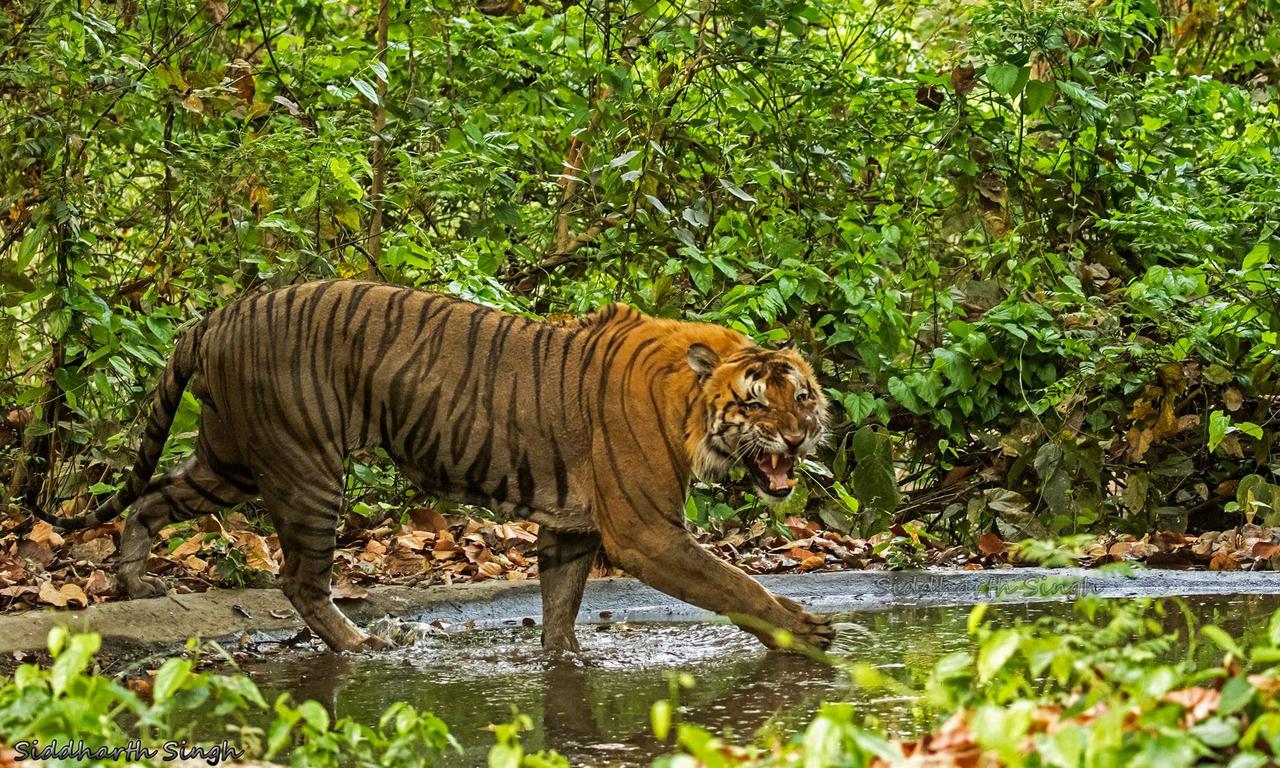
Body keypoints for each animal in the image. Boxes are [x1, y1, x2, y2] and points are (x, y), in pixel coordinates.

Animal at [35, 281, 834, 652]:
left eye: (803, 396)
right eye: (757, 404)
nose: (798, 439)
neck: (686, 407)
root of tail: (216, 317)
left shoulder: (571, 528)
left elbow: (559, 607)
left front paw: (567, 659)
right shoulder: (646, 533)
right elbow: (732, 585)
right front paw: (804, 630)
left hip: (227, 458)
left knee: (153, 498)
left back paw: (134, 581)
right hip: (305, 468)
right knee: (299, 579)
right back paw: (361, 646)